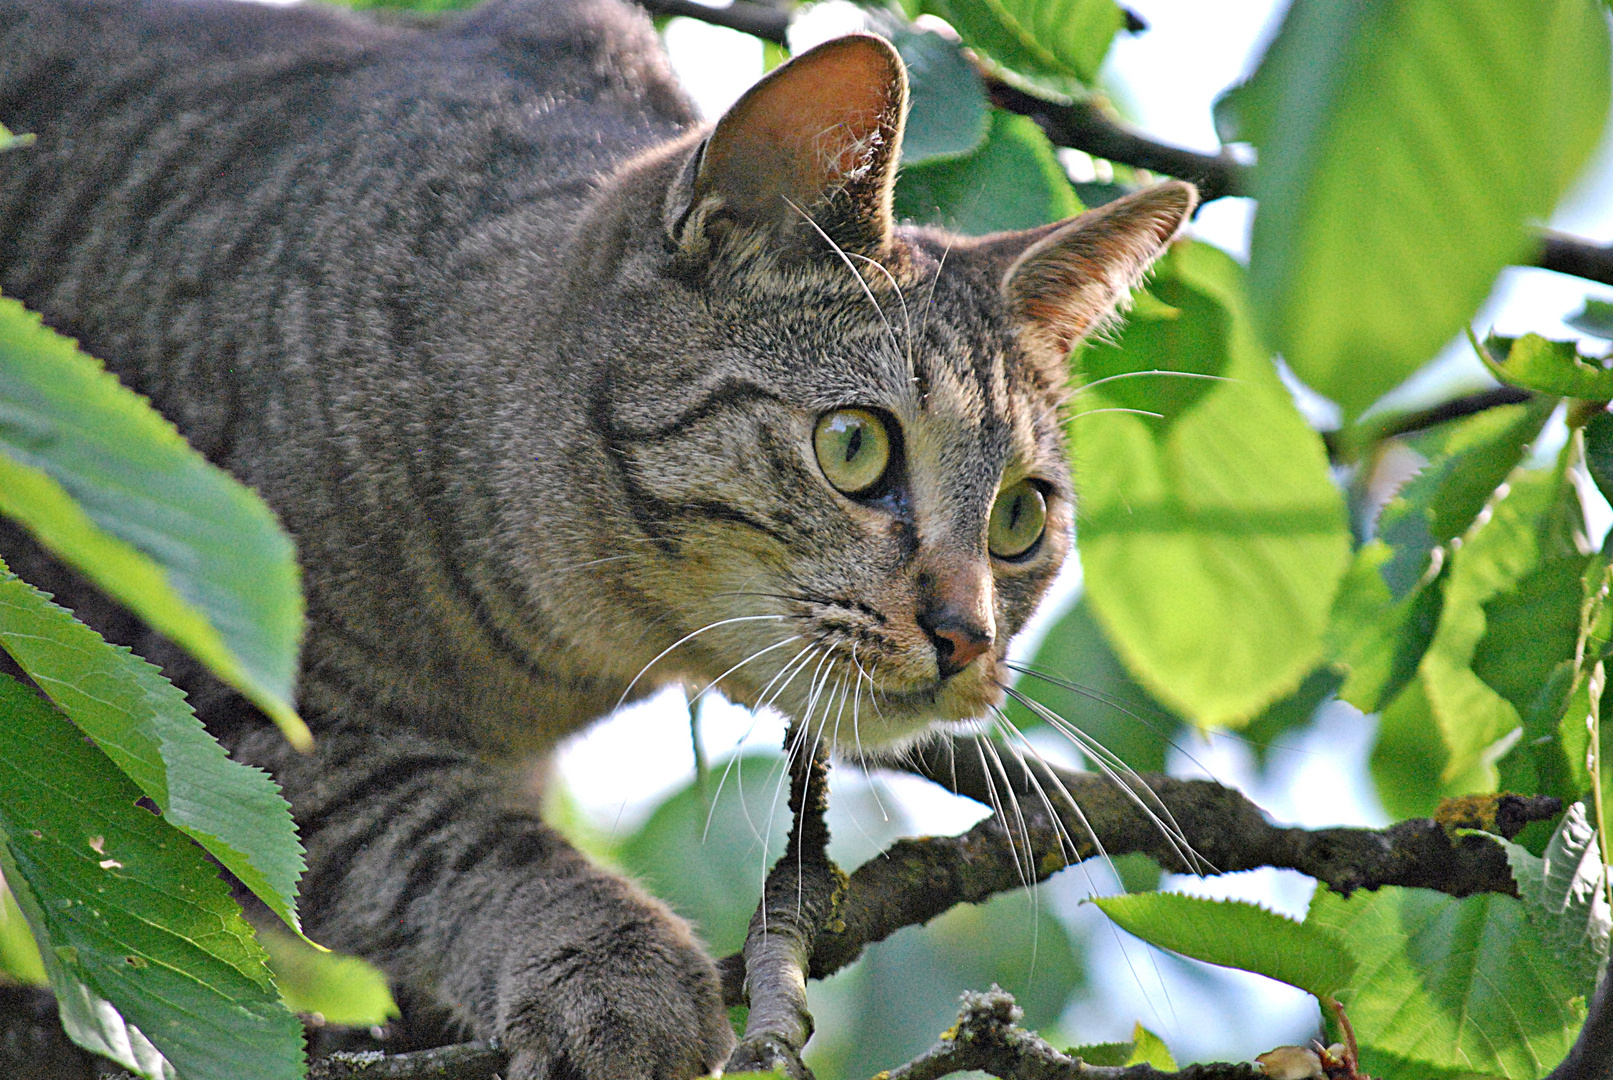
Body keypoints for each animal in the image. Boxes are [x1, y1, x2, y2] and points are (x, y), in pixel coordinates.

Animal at [0, 0, 1187, 1076]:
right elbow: (445, 837)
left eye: (1020, 519)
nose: (968, 634)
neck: (556, 660)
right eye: (854, 446)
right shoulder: (230, 672)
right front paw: (615, 973)